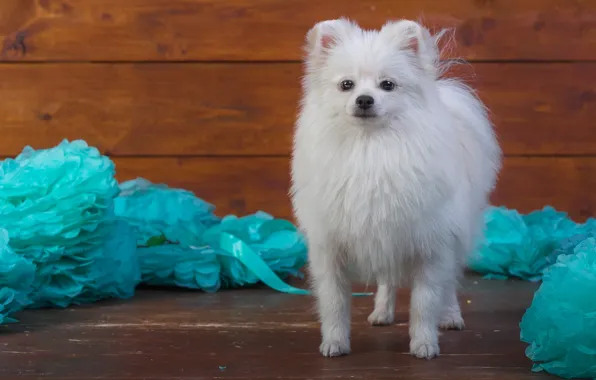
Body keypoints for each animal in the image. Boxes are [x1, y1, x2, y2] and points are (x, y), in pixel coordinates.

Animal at [292, 18, 500, 360]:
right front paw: (334, 342)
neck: (371, 149)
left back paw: (450, 315)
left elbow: (425, 301)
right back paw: (382, 312)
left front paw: (424, 343)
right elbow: (334, 302)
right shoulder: (331, 246)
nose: (365, 99)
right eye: (346, 85)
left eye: (387, 85)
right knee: (387, 281)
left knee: (449, 283)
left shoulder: (433, 245)